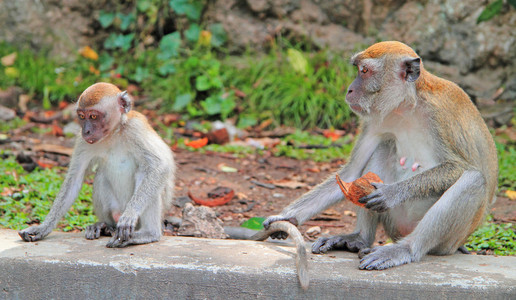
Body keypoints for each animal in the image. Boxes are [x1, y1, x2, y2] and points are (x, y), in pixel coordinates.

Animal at [18, 82, 175, 248]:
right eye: (82, 116)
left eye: (93, 116)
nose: (86, 131)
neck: (114, 133)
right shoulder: (83, 142)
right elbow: (74, 180)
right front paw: (43, 227)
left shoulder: (135, 128)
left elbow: (160, 166)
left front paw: (130, 214)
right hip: (114, 209)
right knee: (101, 175)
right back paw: (105, 226)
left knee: (145, 172)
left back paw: (148, 233)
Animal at [264, 41, 498, 270]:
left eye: (364, 71)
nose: (350, 89)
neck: (406, 106)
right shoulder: (374, 119)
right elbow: (352, 173)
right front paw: (287, 216)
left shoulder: (441, 115)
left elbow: (461, 167)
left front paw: (391, 193)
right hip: (395, 221)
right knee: (384, 147)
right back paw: (359, 239)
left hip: (449, 240)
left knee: (473, 180)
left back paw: (405, 249)